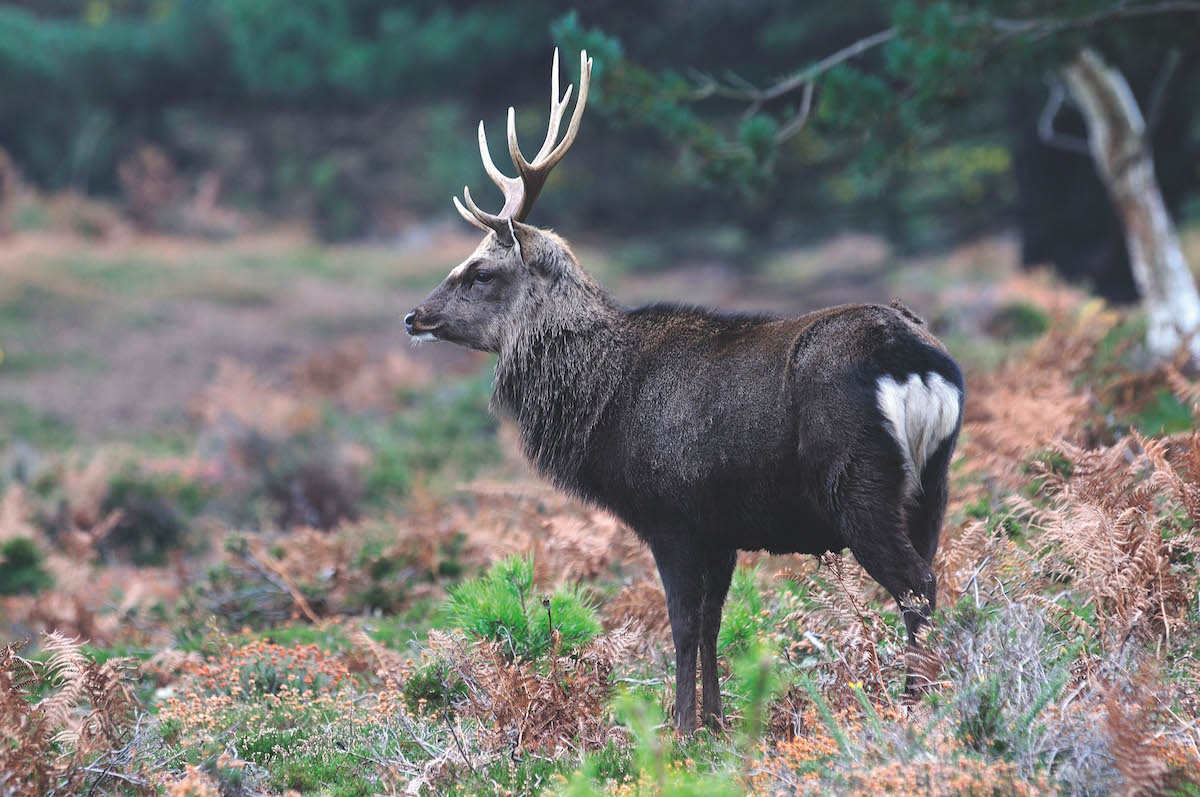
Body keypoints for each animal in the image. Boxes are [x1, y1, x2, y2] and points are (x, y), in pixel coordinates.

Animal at [403, 49, 964, 734]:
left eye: (480, 271)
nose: (414, 316)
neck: (600, 404)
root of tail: (919, 364)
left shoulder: (671, 513)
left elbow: (683, 624)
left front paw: (682, 729)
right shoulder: (720, 526)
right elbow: (717, 622)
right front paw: (719, 723)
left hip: (859, 480)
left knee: (916, 585)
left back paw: (916, 704)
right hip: (933, 485)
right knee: (931, 574)